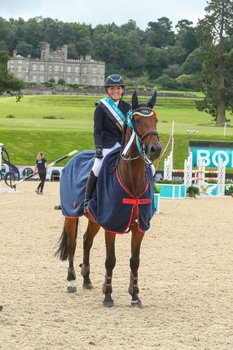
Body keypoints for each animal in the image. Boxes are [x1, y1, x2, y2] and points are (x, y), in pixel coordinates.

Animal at [55, 91, 162, 308]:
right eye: (137, 120)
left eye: (155, 120)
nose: (155, 149)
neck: (132, 179)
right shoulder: (112, 225)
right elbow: (110, 260)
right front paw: (108, 297)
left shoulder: (139, 228)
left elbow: (134, 261)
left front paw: (135, 296)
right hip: (70, 216)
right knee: (72, 245)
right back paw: (71, 282)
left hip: (95, 220)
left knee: (86, 241)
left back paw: (87, 279)